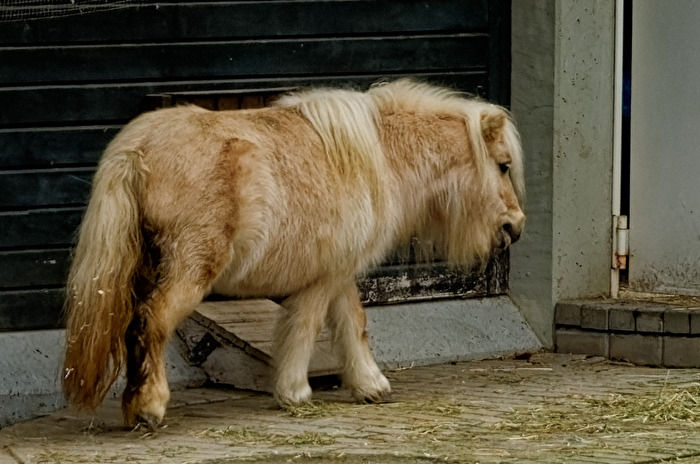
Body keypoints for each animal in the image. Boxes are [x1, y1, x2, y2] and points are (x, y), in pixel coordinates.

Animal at [62, 79, 525, 429]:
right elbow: (306, 327)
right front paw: (295, 392)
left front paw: (369, 385)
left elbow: (352, 323)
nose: (516, 227)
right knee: (152, 322)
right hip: (189, 270)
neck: (378, 156)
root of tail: (138, 151)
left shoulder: (340, 272)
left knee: (131, 329)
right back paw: (151, 408)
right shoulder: (323, 278)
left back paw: (132, 407)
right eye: (503, 165)